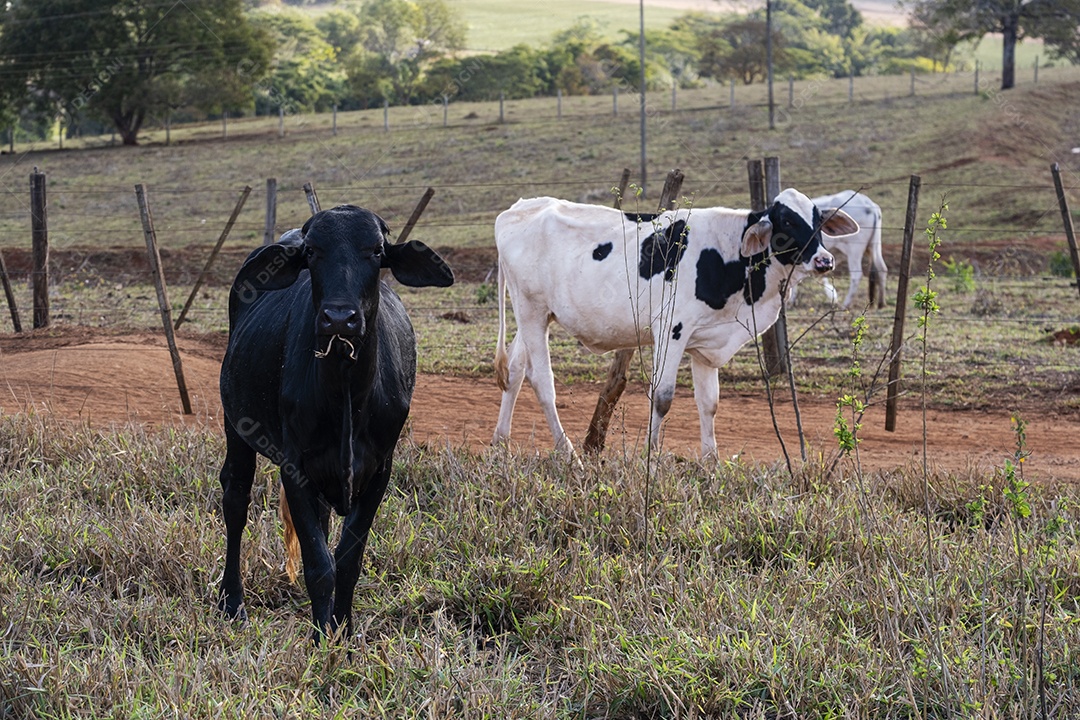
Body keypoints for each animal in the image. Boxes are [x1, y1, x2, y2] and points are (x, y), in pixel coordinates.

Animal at [217, 205, 453, 639]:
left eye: (376, 250)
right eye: (312, 252)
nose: (339, 317)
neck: (345, 391)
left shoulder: (379, 470)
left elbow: (347, 560)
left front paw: (340, 631)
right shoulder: (294, 467)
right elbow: (319, 566)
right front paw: (320, 638)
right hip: (235, 423)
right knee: (236, 499)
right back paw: (232, 601)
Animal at [492, 187, 859, 455]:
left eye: (818, 220)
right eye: (786, 223)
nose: (825, 260)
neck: (728, 255)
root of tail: (520, 207)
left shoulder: (707, 342)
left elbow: (709, 404)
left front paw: (711, 463)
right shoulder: (671, 331)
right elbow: (663, 396)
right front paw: (650, 457)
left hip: (534, 316)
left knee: (515, 370)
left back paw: (501, 443)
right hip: (531, 312)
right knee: (542, 381)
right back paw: (568, 454)